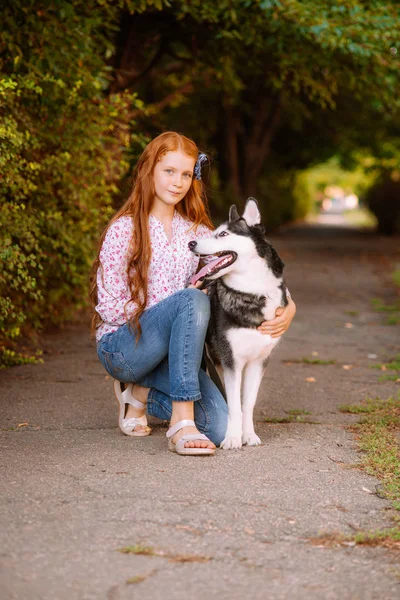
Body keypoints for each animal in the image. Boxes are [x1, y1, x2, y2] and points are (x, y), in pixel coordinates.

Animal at [188, 198, 288, 450]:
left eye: (223, 234)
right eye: (213, 232)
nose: (191, 243)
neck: (252, 293)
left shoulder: (258, 361)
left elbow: (247, 403)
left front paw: (248, 434)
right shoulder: (230, 361)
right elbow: (233, 404)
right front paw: (233, 437)